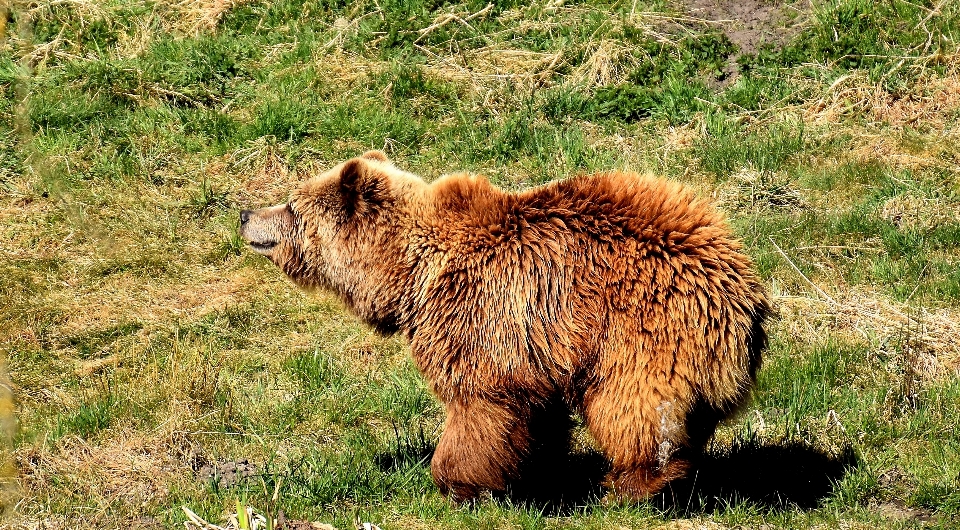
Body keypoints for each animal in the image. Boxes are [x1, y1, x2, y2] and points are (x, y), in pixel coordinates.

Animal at [240, 151, 772, 502]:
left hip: (642, 329)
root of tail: (742, 289)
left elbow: (481, 404)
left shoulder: (480, 313)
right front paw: (538, 469)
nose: (246, 214)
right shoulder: (537, 347)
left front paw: (455, 482)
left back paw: (630, 485)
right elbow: (537, 414)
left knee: (633, 405)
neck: (410, 273)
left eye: (292, 205)